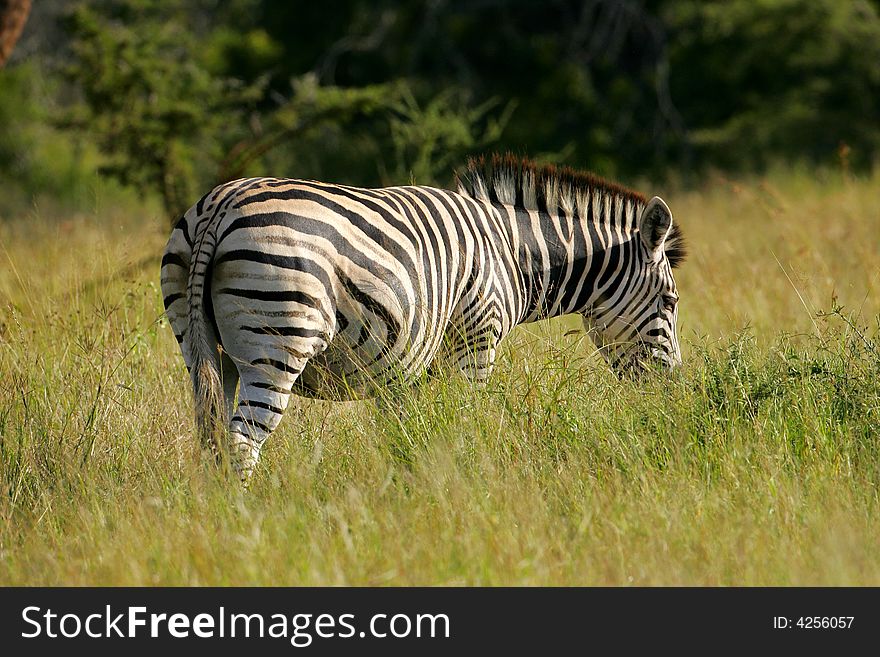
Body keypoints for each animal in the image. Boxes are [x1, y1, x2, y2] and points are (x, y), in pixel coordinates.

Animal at [160, 154, 688, 482]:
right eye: (669, 302)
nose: (672, 390)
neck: (510, 253)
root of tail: (219, 206)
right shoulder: (476, 339)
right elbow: (468, 422)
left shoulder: (403, 366)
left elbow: (408, 438)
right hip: (277, 343)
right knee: (241, 442)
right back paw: (249, 522)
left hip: (203, 348)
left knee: (212, 436)